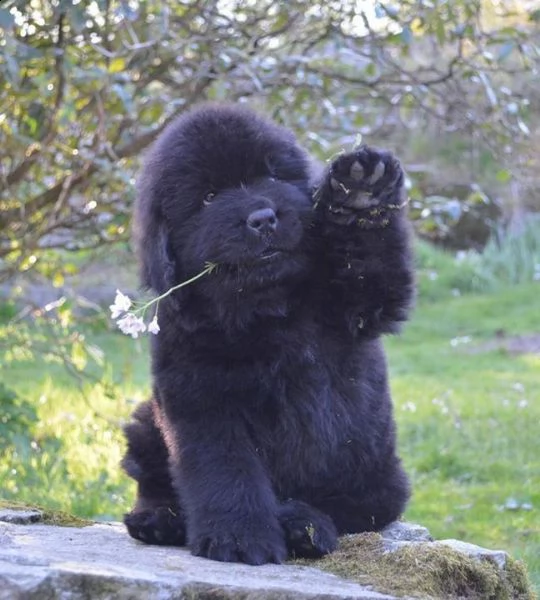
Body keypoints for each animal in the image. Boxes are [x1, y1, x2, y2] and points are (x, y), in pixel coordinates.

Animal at [122, 101, 416, 564]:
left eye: (272, 177)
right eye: (209, 197)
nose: (262, 218)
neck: (266, 309)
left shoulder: (359, 304)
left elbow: (370, 261)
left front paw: (360, 191)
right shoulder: (200, 395)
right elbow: (226, 470)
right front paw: (240, 538)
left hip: (377, 477)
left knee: (347, 507)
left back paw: (303, 525)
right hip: (145, 424)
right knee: (154, 483)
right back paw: (159, 519)